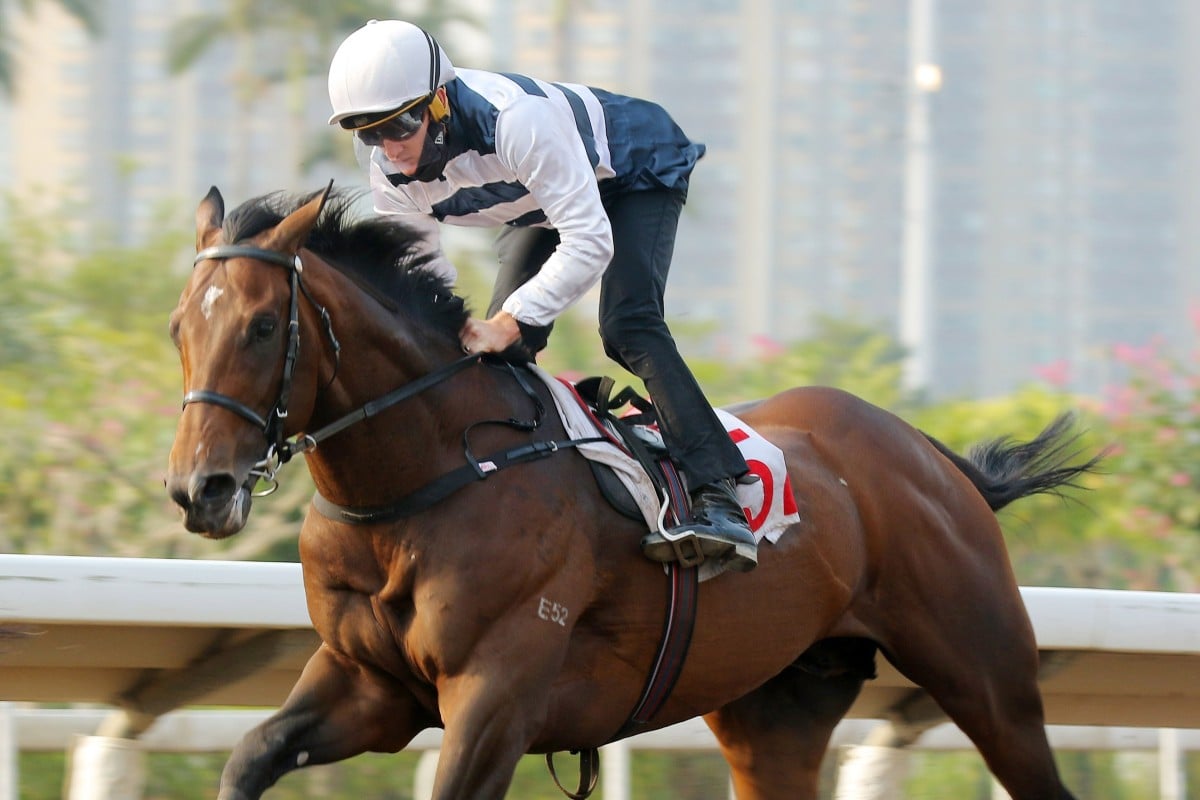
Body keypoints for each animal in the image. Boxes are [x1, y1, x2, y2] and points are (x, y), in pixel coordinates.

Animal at [164, 184, 1094, 796]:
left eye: (263, 326)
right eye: (179, 328)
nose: (199, 488)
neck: (422, 484)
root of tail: (934, 458)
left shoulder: (495, 695)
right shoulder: (370, 684)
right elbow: (250, 756)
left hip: (989, 680)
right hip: (777, 707)